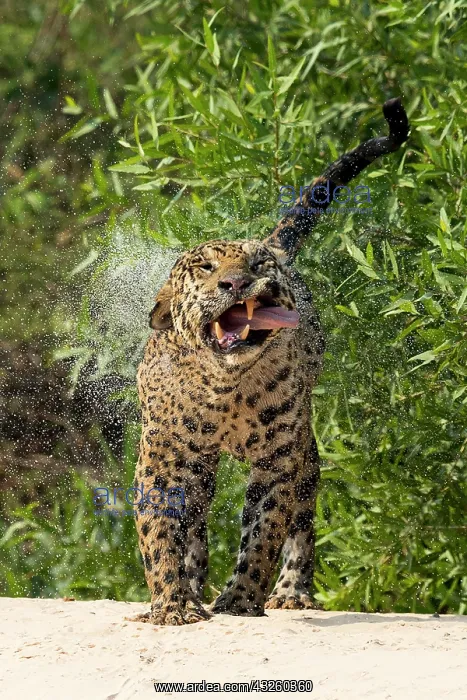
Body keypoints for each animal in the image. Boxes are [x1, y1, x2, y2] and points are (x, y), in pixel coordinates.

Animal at [132, 98, 409, 625]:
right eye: (205, 268)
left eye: (258, 266)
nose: (236, 283)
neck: (225, 386)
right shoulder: (164, 459)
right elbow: (159, 534)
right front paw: (173, 604)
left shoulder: (279, 459)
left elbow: (263, 532)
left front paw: (241, 601)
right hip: (202, 468)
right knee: (195, 525)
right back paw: (194, 587)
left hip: (305, 452)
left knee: (301, 521)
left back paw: (290, 592)